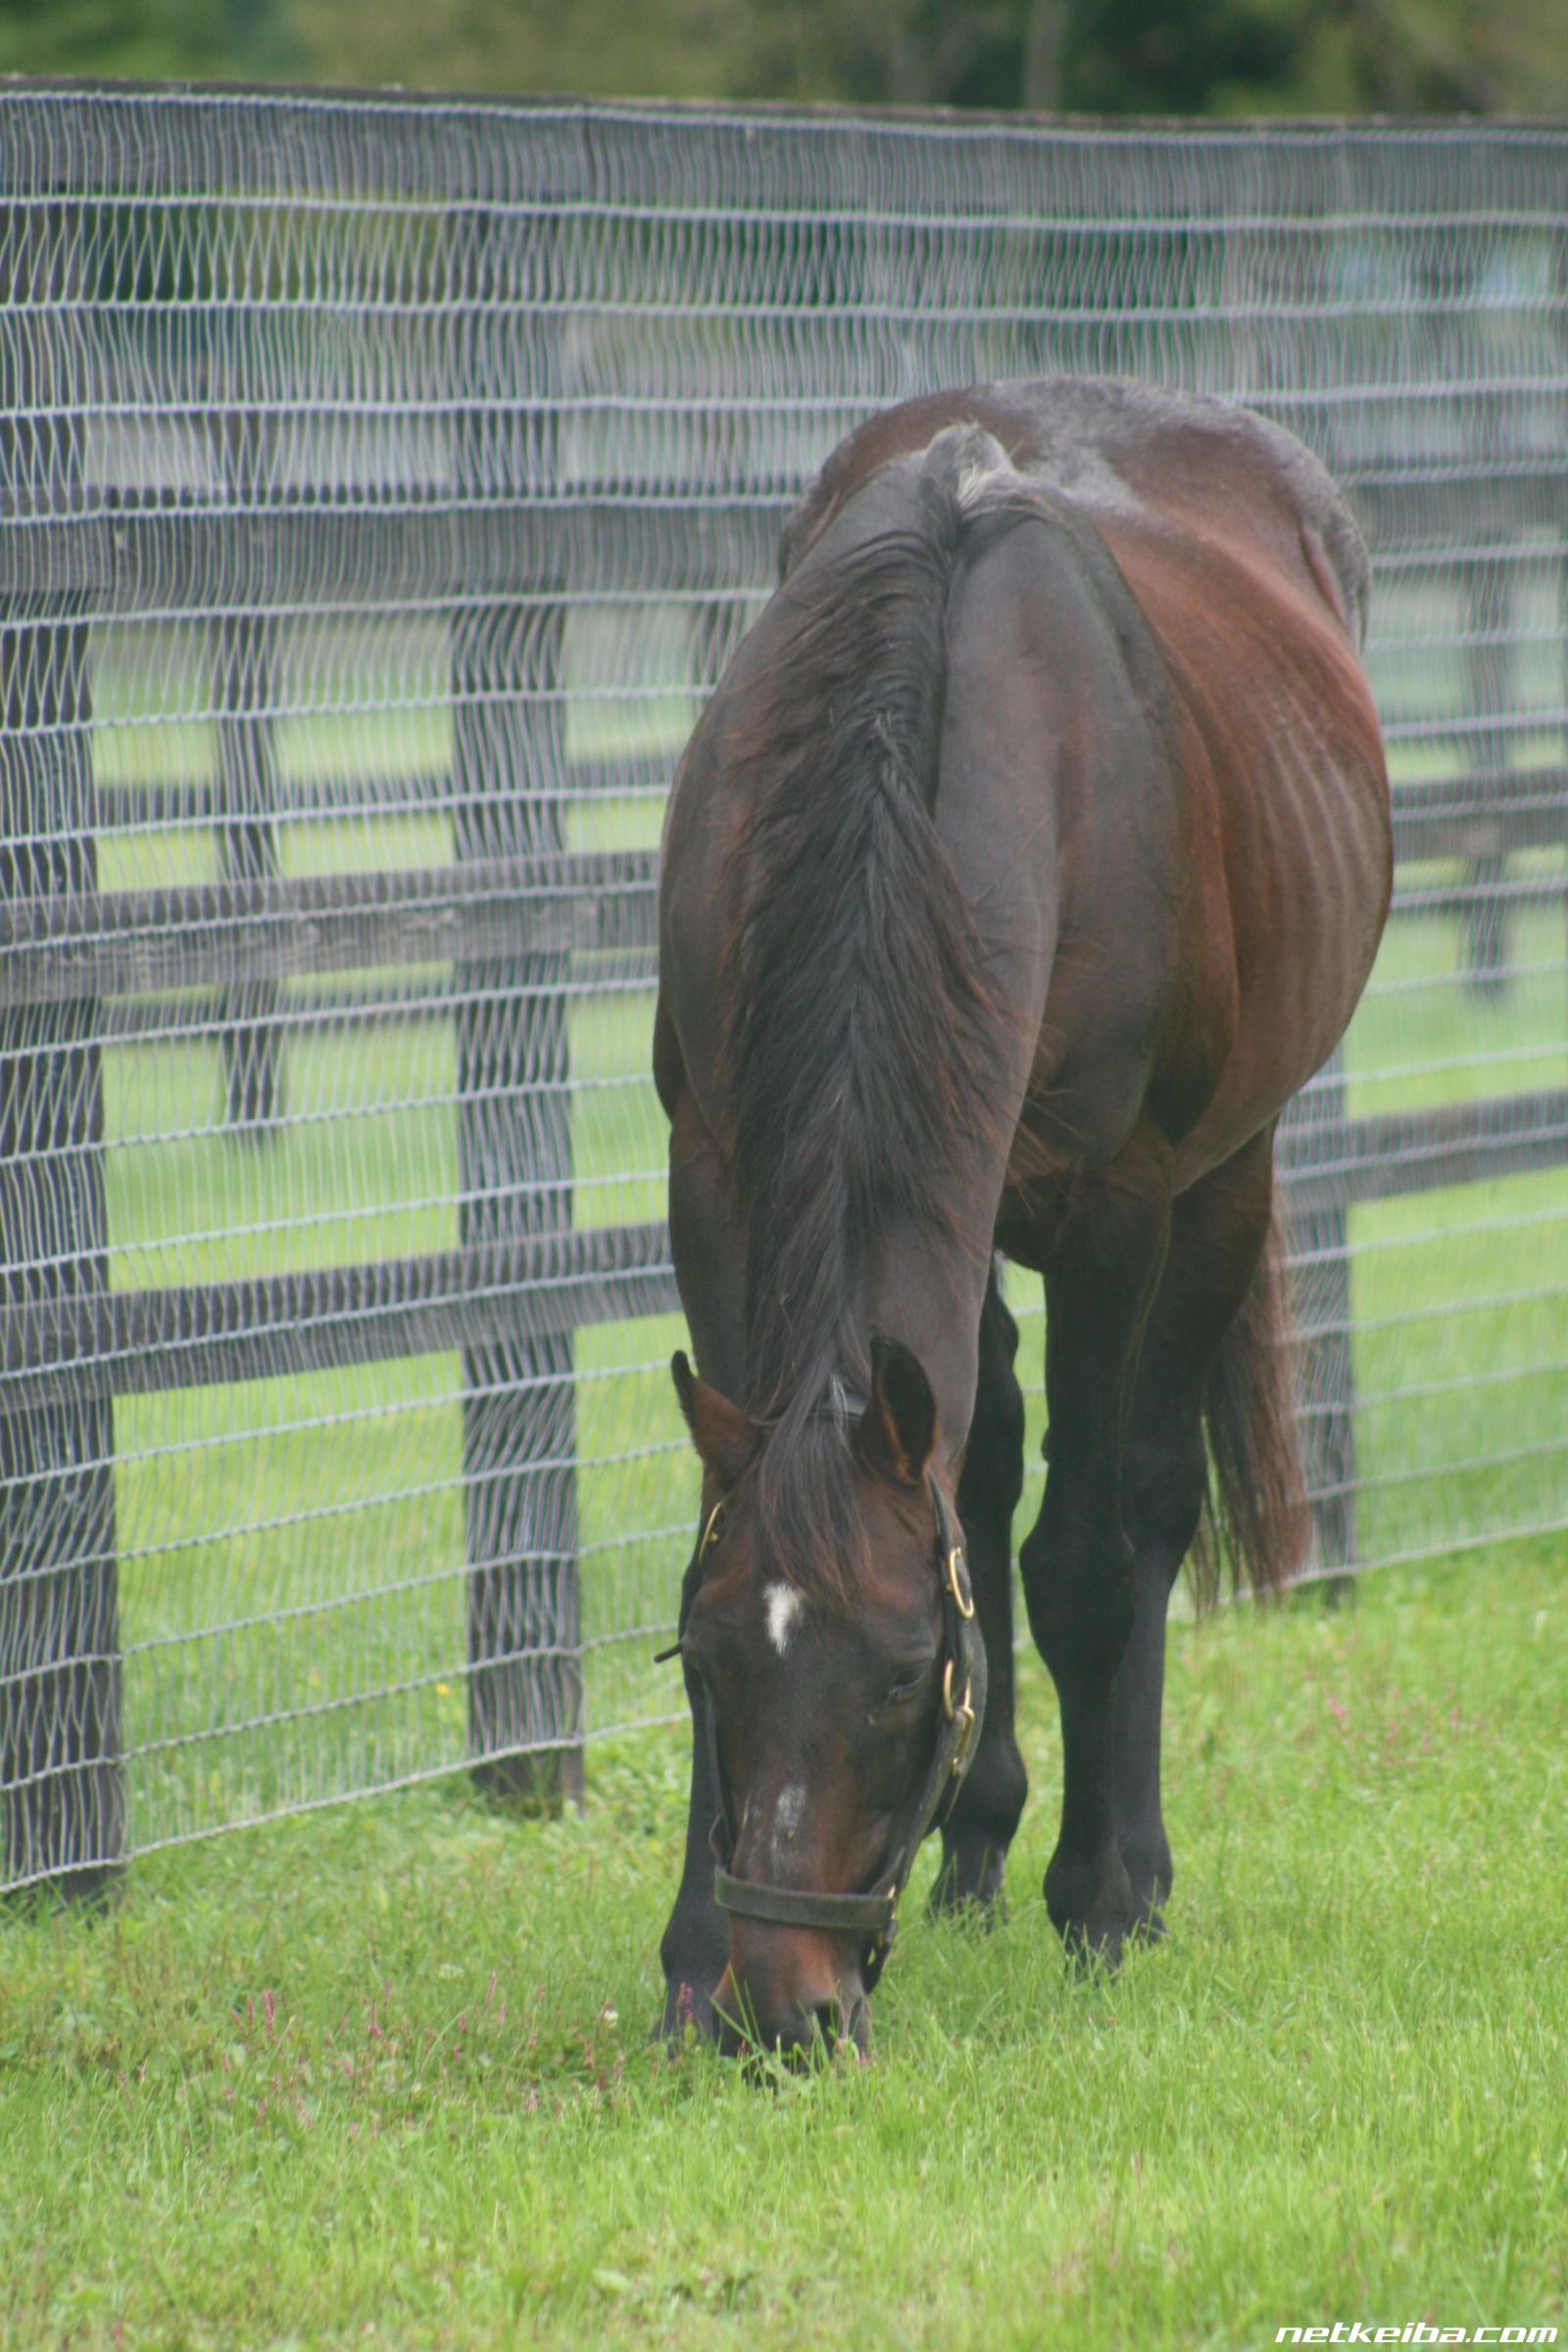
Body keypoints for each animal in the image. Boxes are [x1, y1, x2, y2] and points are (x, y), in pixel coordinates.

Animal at [658, 376, 1392, 2050]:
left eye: (895, 1677)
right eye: (712, 1664)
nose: (785, 2011)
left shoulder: (1118, 1205)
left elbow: (1085, 1560)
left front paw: (1101, 1903)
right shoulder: (713, 1172)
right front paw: (684, 1963)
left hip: (1221, 1181)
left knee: (1143, 1505)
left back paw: (1127, 1869)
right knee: (975, 1456)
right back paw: (980, 1848)